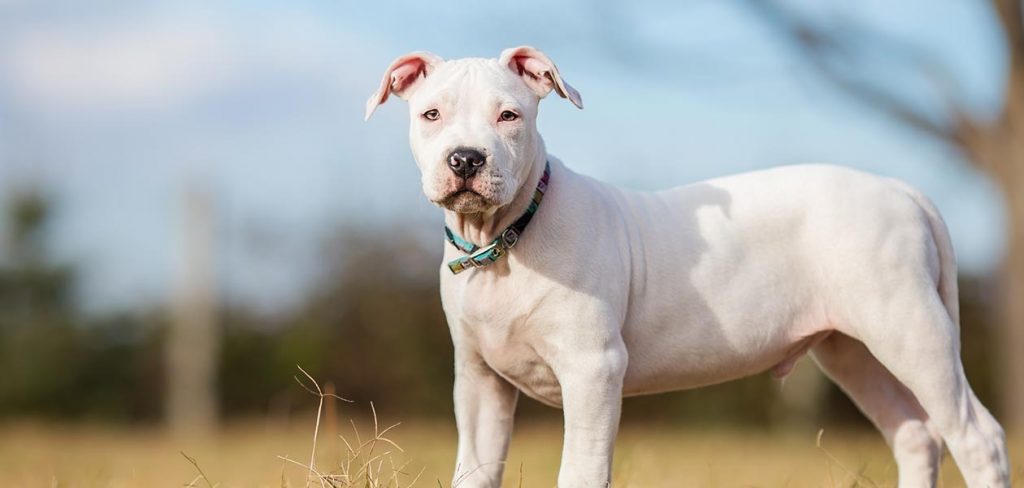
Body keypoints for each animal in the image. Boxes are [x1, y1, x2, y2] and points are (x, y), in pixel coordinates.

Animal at [364, 46, 1011, 486]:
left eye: (509, 116)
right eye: (430, 115)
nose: (465, 159)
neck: (505, 242)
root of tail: (904, 191)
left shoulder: (593, 370)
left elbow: (580, 470)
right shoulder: (479, 381)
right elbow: (475, 470)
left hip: (910, 331)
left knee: (977, 436)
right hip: (852, 349)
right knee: (916, 435)